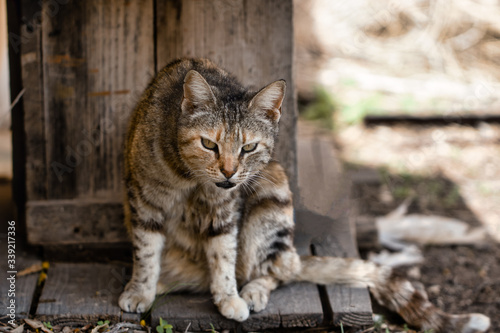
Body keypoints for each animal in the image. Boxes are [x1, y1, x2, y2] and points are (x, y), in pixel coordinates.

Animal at [118, 58, 488, 330]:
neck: (190, 180)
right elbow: (146, 252)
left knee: (276, 269)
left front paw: (228, 296)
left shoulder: (226, 210)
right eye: (209, 144)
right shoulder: (143, 198)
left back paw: (251, 290)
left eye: (248, 148)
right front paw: (140, 289)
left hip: (273, 193)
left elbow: (223, 255)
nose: (229, 172)